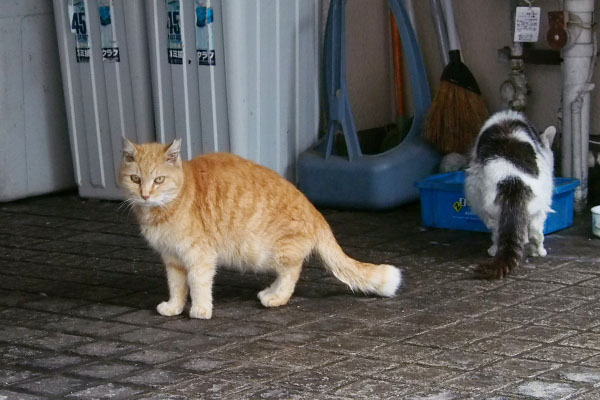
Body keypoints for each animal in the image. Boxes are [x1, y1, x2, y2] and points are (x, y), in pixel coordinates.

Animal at [118, 139, 400, 320]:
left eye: (159, 180)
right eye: (135, 179)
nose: (145, 195)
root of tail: (316, 212)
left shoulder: (199, 257)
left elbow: (198, 284)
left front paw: (200, 310)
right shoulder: (172, 259)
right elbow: (177, 286)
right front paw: (174, 307)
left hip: (266, 252)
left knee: (292, 272)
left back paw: (276, 297)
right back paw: (270, 292)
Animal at [464, 109, 556, 278]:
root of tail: (512, 179)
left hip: (481, 200)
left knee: (498, 232)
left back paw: (494, 250)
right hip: (540, 204)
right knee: (535, 233)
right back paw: (539, 251)